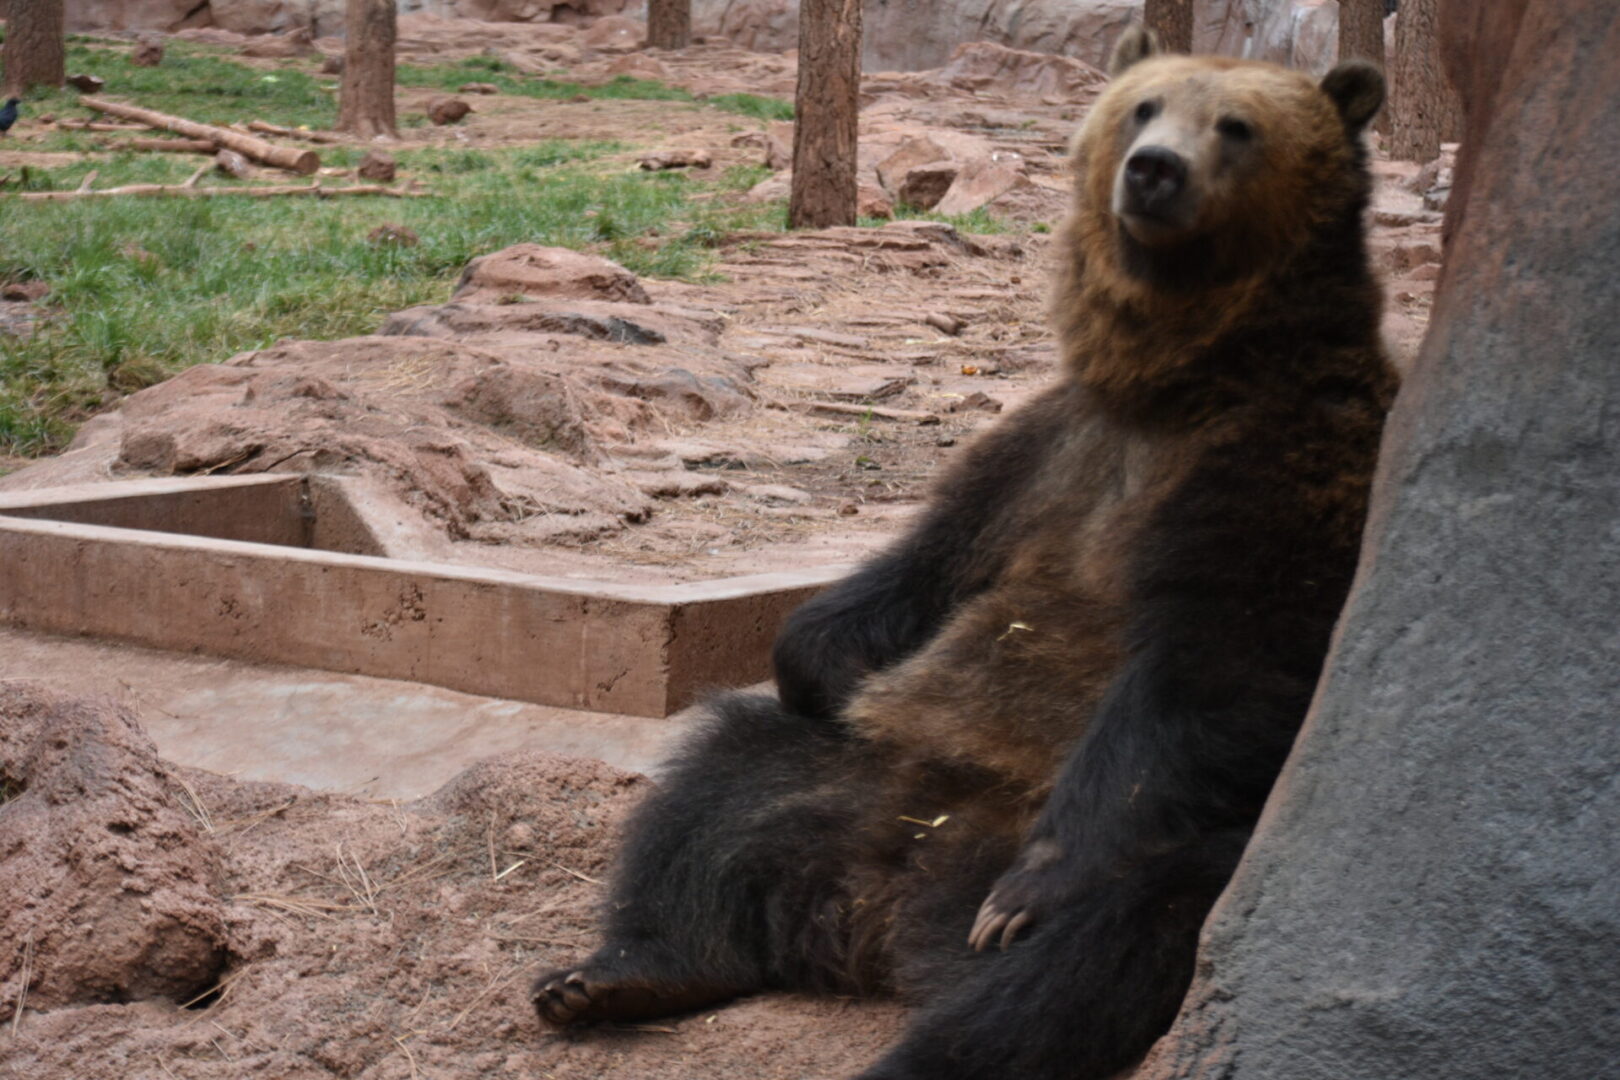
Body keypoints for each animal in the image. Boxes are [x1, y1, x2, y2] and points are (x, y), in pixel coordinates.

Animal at [528, 27, 1393, 1080]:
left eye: (1236, 124)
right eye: (1143, 107)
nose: (1153, 171)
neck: (1178, 380)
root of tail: (893, 901)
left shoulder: (1282, 466)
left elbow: (1216, 665)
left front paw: (1035, 887)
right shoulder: (1041, 455)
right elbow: (917, 572)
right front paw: (825, 664)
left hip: (1158, 859)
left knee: (1100, 945)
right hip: (851, 783)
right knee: (711, 796)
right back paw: (614, 974)